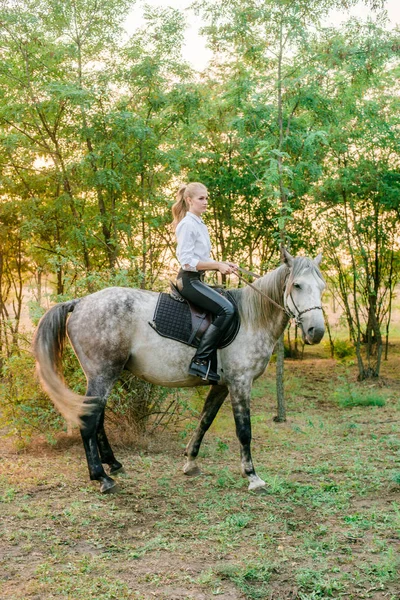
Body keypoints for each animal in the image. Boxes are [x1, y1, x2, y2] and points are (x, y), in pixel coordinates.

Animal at [32, 248, 324, 492]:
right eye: (297, 285)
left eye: (322, 287)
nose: (316, 331)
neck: (251, 320)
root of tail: (80, 302)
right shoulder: (240, 383)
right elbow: (244, 431)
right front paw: (253, 476)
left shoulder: (221, 384)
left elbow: (205, 420)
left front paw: (191, 462)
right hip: (102, 374)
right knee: (89, 419)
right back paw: (101, 477)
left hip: (103, 375)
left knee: (97, 417)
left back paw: (113, 464)